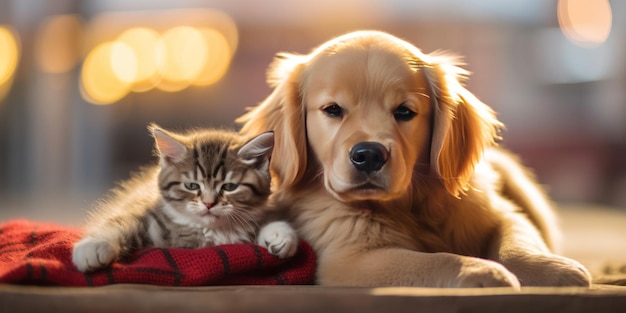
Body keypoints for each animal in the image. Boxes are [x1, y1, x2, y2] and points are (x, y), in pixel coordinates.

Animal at [73, 123, 298, 270]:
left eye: (230, 186)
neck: (208, 231)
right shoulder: (143, 207)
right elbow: (120, 221)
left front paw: (281, 235)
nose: (208, 203)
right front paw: (93, 246)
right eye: (191, 185)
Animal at [236, 30, 588, 286]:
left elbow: (516, 241)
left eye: (405, 112)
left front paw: (556, 271)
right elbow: (434, 261)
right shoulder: (349, 259)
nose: (368, 155)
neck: (409, 204)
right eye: (332, 109)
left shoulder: (500, 214)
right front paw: (482, 271)